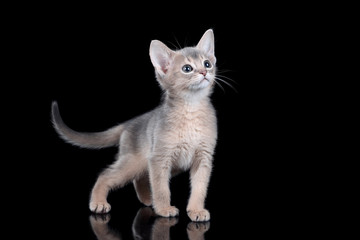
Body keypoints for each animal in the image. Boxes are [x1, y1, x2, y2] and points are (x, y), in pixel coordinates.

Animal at [52, 29, 218, 222]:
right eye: (187, 68)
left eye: (207, 63)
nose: (204, 72)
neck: (191, 108)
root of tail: (127, 124)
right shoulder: (160, 157)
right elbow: (161, 188)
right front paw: (164, 209)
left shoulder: (203, 158)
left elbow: (199, 189)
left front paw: (196, 210)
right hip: (135, 161)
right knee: (106, 175)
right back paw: (99, 202)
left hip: (163, 164)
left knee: (140, 178)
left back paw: (148, 199)